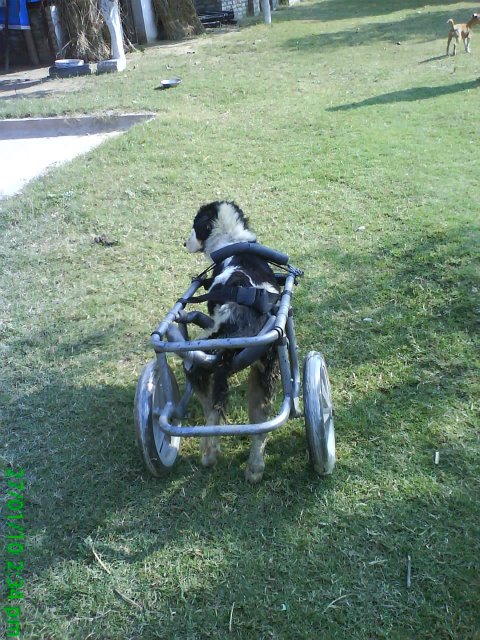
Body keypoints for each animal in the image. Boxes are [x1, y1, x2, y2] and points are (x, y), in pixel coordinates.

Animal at [184, 201, 280, 483]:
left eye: (195, 226)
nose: (184, 243)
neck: (234, 242)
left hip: (205, 357)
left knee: (211, 410)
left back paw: (209, 452)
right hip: (265, 370)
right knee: (260, 421)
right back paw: (255, 468)